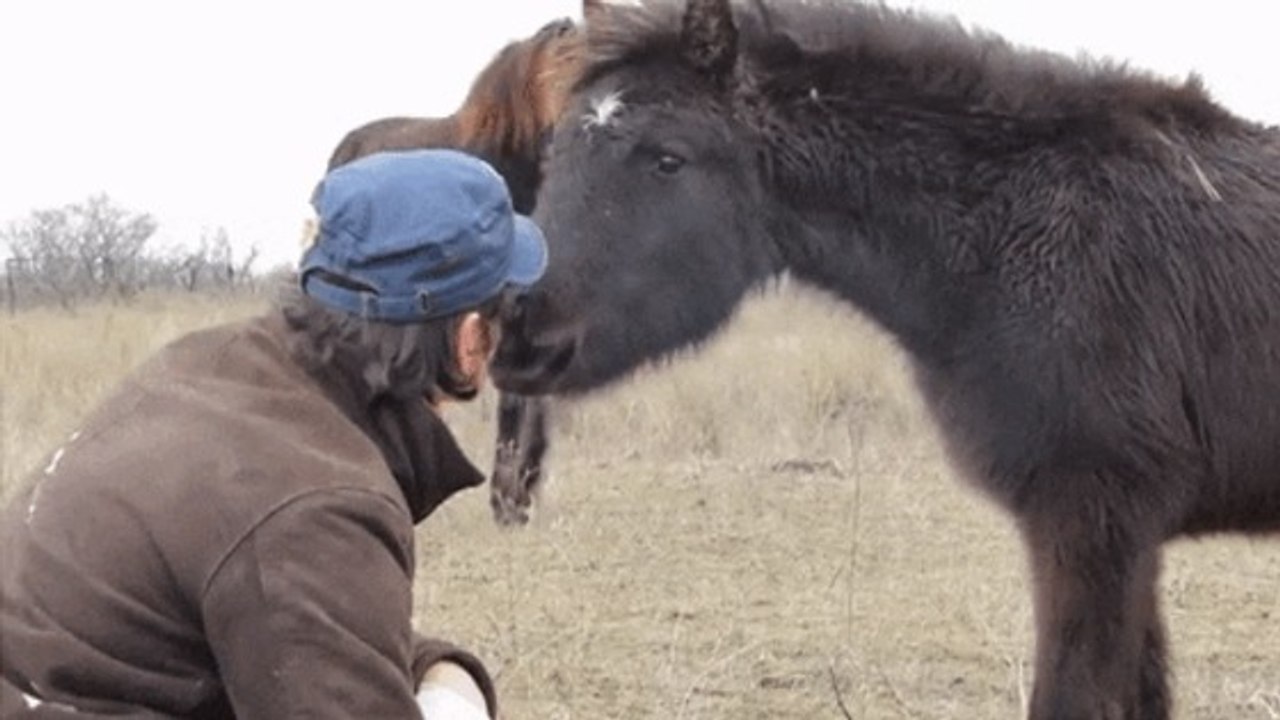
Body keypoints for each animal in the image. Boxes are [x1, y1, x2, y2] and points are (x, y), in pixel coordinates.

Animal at [490, 1, 1280, 717]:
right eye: (555, 155)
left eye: (667, 158)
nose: (523, 337)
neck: (1010, 238)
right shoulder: (1117, 542)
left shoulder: (1092, 527)